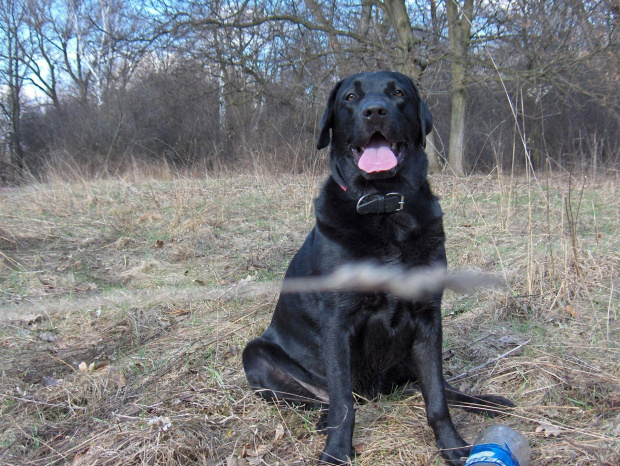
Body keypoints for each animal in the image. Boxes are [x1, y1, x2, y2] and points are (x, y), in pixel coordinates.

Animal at [242, 70, 512, 462]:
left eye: (398, 93)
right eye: (350, 97)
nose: (374, 111)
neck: (384, 207)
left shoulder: (428, 318)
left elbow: (437, 397)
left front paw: (452, 446)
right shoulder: (338, 322)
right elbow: (343, 403)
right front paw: (336, 452)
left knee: (442, 387)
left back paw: (487, 401)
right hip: (255, 355)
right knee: (321, 400)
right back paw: (322, 419)